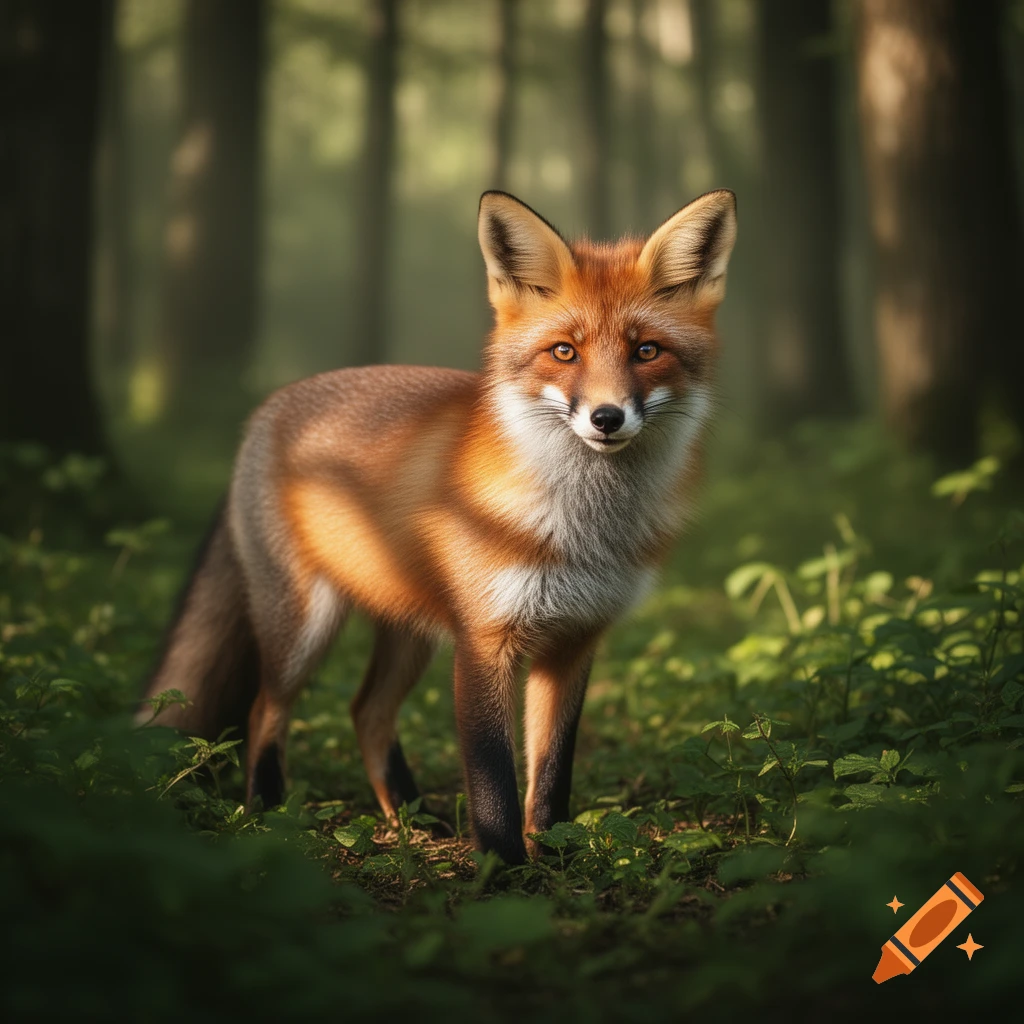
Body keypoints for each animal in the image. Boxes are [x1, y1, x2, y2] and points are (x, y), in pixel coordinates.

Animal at [141, 188, 737, 865]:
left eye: (646, 351)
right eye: (565, 351)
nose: (606, 417)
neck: (582, 530)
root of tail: (263, 412)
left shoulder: (575, 641)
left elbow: (551, 772)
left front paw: (553, 851)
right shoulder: (484, 640)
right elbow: (492, 776)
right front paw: (503, 868)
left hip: (411, 632)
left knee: (366, 712)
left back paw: (412, 820)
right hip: (304, 627)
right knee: (265, 709)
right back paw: (268, 811)